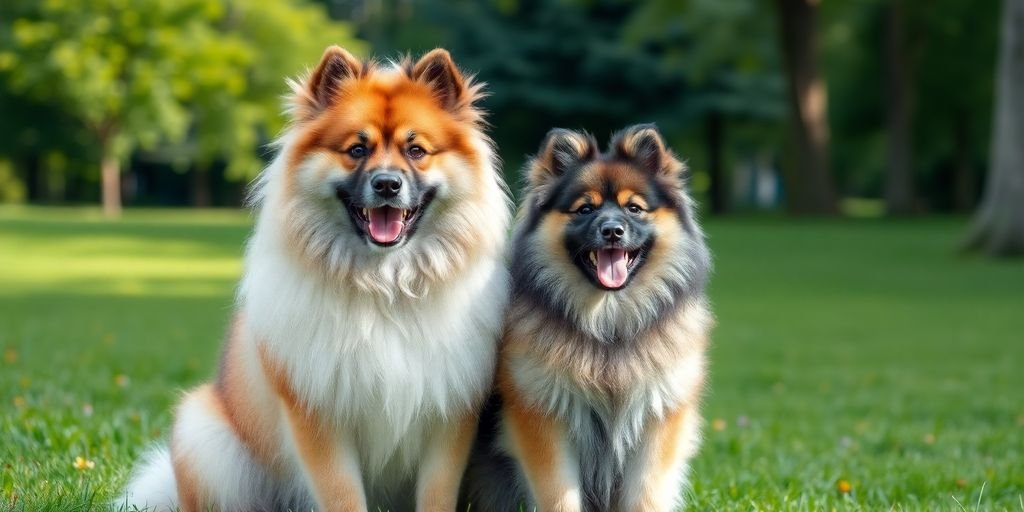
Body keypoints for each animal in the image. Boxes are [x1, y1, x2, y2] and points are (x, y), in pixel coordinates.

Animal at [125, 45, 509, 512]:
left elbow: (436, 494)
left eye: (416, 150)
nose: (387, 184)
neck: (385, 285)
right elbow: (343, 496)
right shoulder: (319, 417)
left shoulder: (448, 416)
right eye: (357, 149)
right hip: (204, 435)